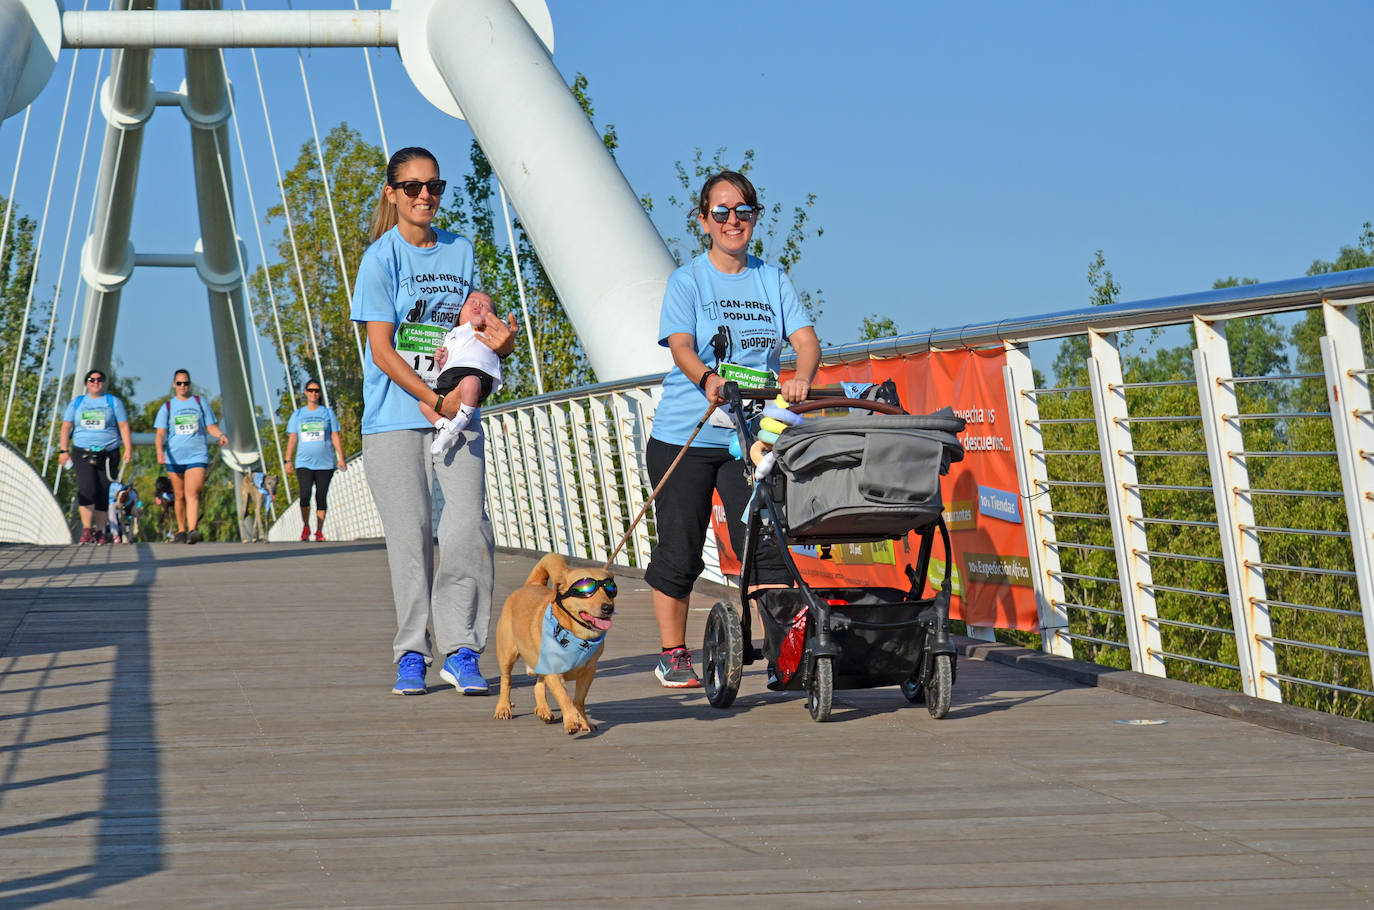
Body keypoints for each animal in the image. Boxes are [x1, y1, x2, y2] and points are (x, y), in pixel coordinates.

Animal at [494, 552, 618, 736]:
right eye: (585, 591)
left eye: (611, 590)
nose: (608, 608)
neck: (578, 636)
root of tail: (533, 584)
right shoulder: (554, 672)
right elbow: (564, 697)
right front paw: (572, 721)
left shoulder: (588, 672)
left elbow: (578, 700)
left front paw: (583, 721)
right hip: (507, 654)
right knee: (506, 681)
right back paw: (503, 707)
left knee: (538, 685)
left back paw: (543, 709)